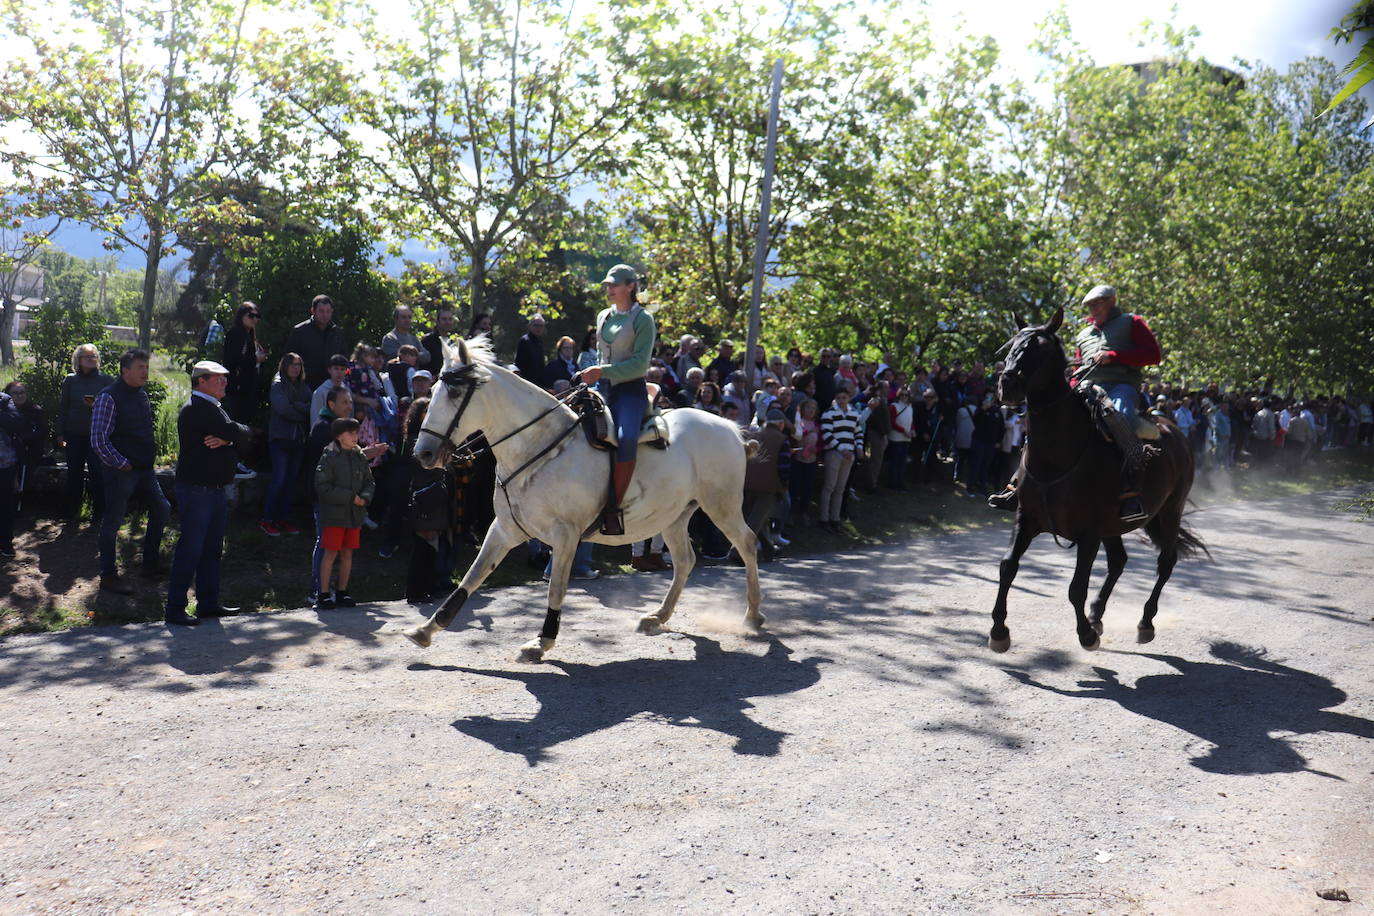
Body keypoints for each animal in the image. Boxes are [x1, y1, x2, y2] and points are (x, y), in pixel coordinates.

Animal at [401, 336, 763, 659]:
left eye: (455, 392)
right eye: (431, 392)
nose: (424, 453)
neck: (540, 448)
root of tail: (731, 429)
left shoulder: (565, 535)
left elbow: (556, 587)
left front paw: (541, 641)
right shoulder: (505, 529)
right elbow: (473, 576)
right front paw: (428, 628)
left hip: (721, 506)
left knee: (747, 543)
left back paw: (752, 615)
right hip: (674, 516)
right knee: (686, 560)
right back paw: (657, 617)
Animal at [989, 307, 1203, 650]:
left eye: (1041, 349)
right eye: (1010, 346)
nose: (1007, 384)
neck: (1056, 456)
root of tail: (1175, 431)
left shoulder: (1088, 533)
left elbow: (1076, 587)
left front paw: (1085, 635)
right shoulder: (1027, 519)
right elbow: (1008, 566)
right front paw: (999, 630)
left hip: (1170, 510)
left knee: (1165, 562)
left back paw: (1145, 622)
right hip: (1114, 526)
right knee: (1119, 561)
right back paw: (1098, 614)